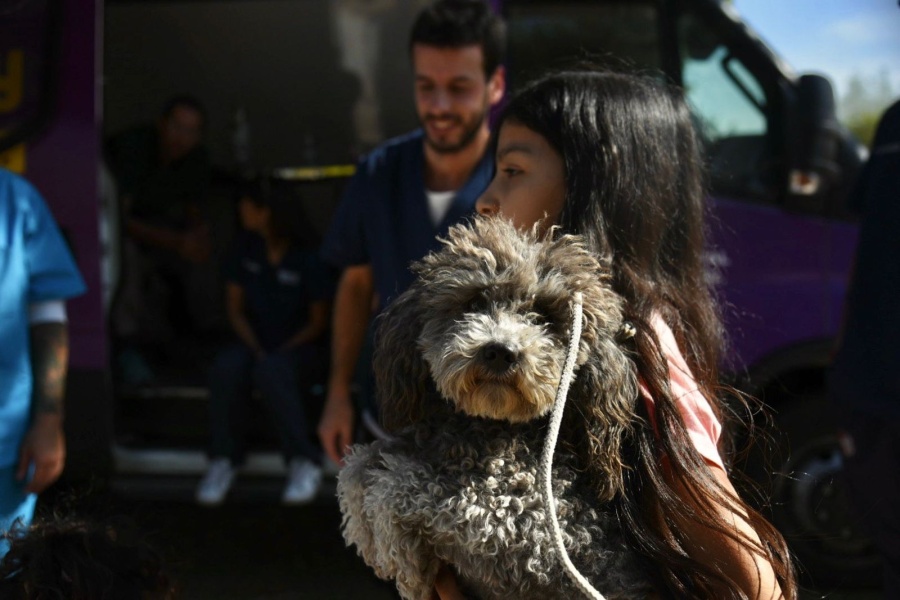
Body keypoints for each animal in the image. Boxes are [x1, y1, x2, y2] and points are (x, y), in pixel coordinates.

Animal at [336, 217, 652, 600]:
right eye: (474, 301)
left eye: (544, 316)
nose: (501, 351)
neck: (492, 426)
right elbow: (357, 465)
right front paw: (370, 535)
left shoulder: (516, 521)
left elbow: (400, 484)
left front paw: (401, 562)